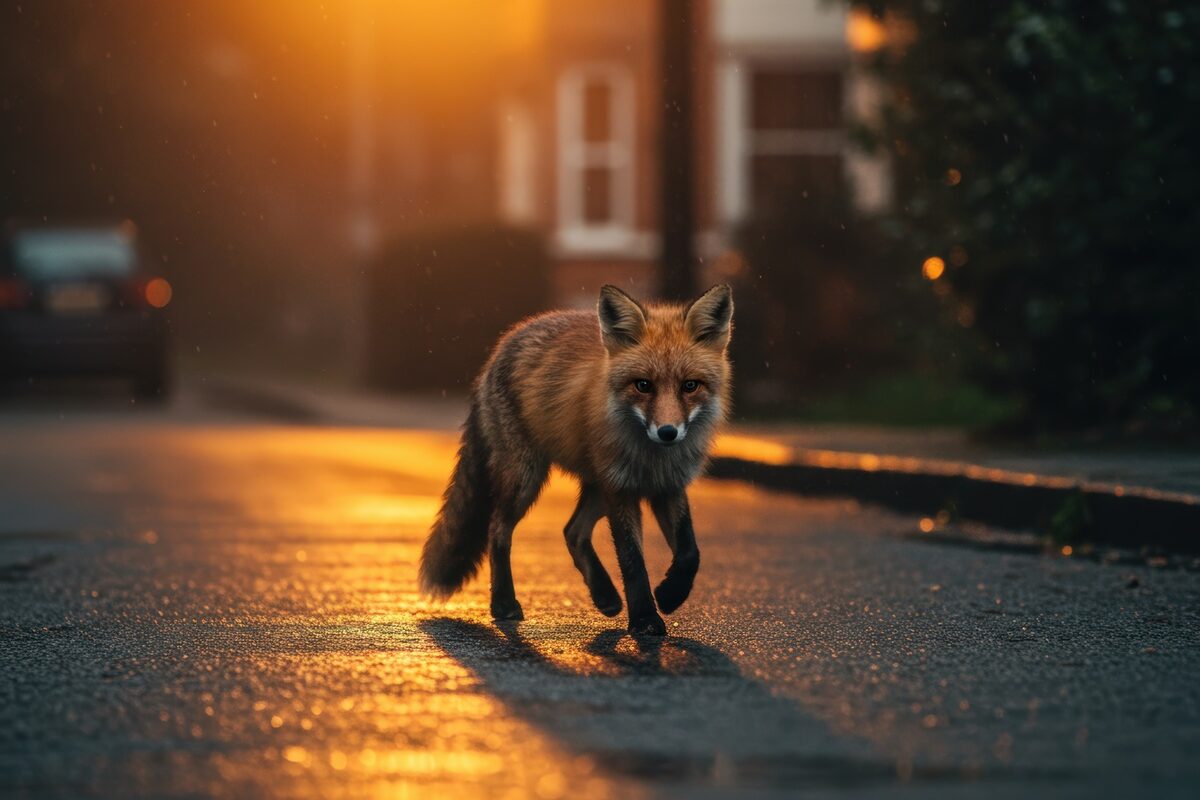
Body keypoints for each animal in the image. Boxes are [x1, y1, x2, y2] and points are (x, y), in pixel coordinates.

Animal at [418, 283, 733, 636]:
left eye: (690, 386)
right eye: (643, 385)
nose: (668, 432)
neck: (652, 459)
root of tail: (501, 347)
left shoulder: (669, 485)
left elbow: (690, 552)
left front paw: (670, 595)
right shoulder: (621, 488)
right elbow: (632, 561)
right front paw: (645, 619)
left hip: (595, 487)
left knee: (572, 531)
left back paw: (605, 596)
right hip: (526, 478)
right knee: (498, 530)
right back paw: (504, 603)